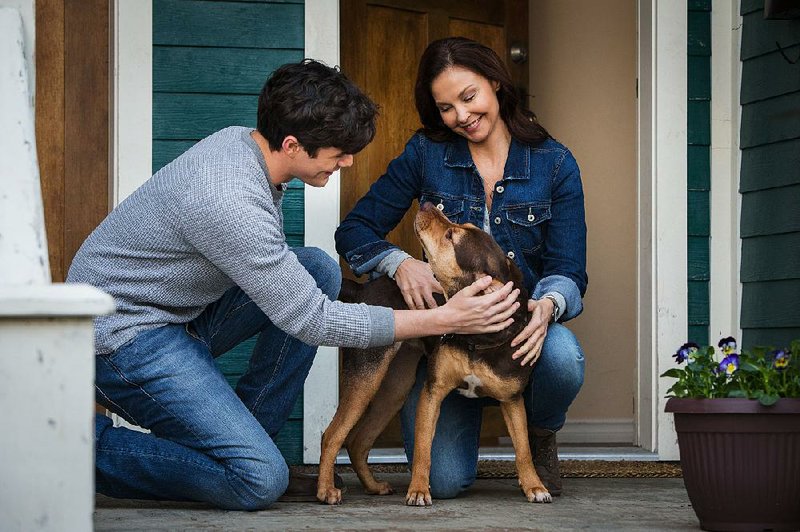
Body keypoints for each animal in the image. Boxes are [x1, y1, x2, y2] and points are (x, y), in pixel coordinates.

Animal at [316, 202, 552, 504]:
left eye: (451, 236)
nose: (427, 205)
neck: (477, 339)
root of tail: (362, 289)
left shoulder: (512, 400)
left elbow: (523, 450)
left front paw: (535, 486)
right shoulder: (433, 392)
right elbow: (422, 450)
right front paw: (418, 489)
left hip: (396, 388)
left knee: (358, 441)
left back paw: (373, 486)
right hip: (367, 377)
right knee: (332, 435)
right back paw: (325, 489)